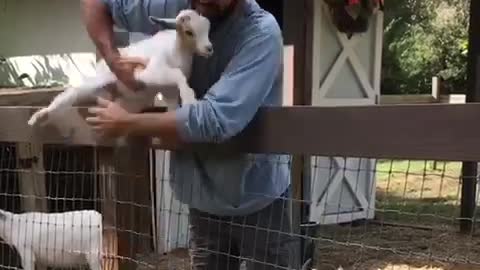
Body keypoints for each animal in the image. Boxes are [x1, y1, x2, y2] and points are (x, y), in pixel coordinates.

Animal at [27, 8, 212, 140]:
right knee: (72, 92)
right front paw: (190, 100)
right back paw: (40, 116)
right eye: (189, 32)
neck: (176, 51)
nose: (209, 48)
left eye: (207, 30)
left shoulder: (169, 92)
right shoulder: (147, 72)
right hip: (100, 81)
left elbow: (173, 103)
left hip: (129, 100)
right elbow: (177, 75)